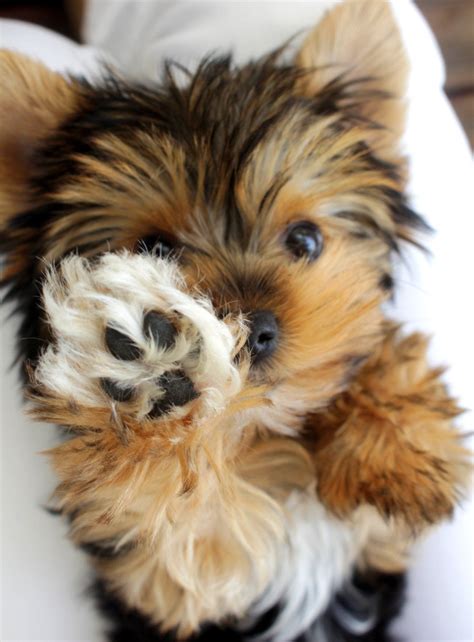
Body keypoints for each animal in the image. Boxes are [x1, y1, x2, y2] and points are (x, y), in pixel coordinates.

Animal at [0, 1, 468, 640]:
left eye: (305, 240)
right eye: (155, 251)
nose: (256, 329)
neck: (258, 433)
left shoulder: (373, 547)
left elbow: (374, 356)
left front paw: (394, 449)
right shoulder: (167, 577)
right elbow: (183, 514)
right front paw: (154, 371)